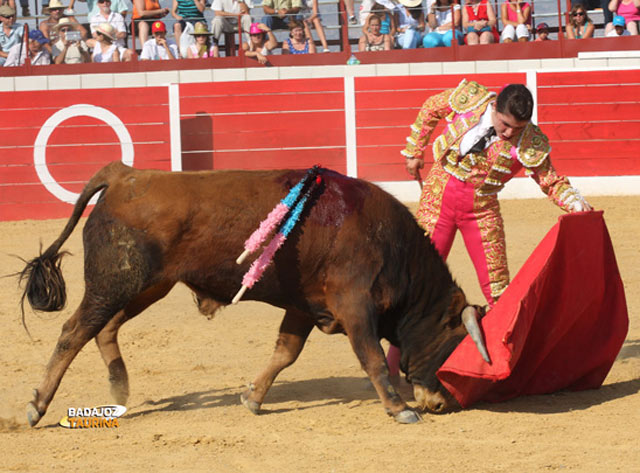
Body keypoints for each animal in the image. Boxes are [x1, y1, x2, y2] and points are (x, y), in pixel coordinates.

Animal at [21, 160, 490, 426]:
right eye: (455, 345)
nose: (442, 404)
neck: (389, 244)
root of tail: (124, 174)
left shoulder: (305, 307)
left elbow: (286, 352)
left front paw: (252, 397)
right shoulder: (355, 306)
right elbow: (373, 359)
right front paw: (399, 409)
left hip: (146, 286)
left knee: (104, 328)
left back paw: (119, 387)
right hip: (113, 284)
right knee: (74, 331)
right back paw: (37, 406)